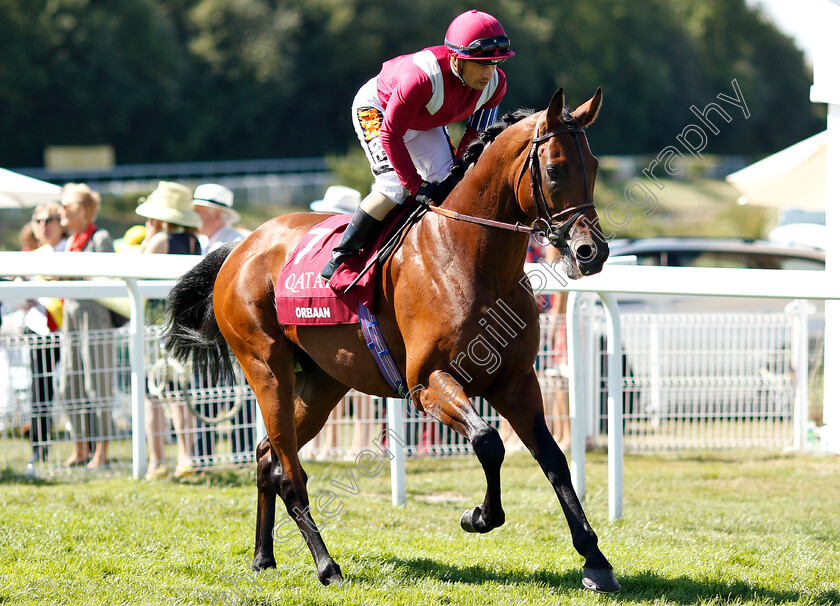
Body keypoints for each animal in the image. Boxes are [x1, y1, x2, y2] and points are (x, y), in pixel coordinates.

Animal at [166, 88, 624, 596]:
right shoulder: (428, 383)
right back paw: (327, 566)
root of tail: (241, 247)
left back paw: (263, 557)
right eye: (556, 169)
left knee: (267, 456)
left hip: (323, 383)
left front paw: (595, 560)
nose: (592, 252)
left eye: (595, 164)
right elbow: (488, 442)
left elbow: (554, 459)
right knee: (289, 473)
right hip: (266, 368)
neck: (468, 255)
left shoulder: (517, 382)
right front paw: (479, 515)